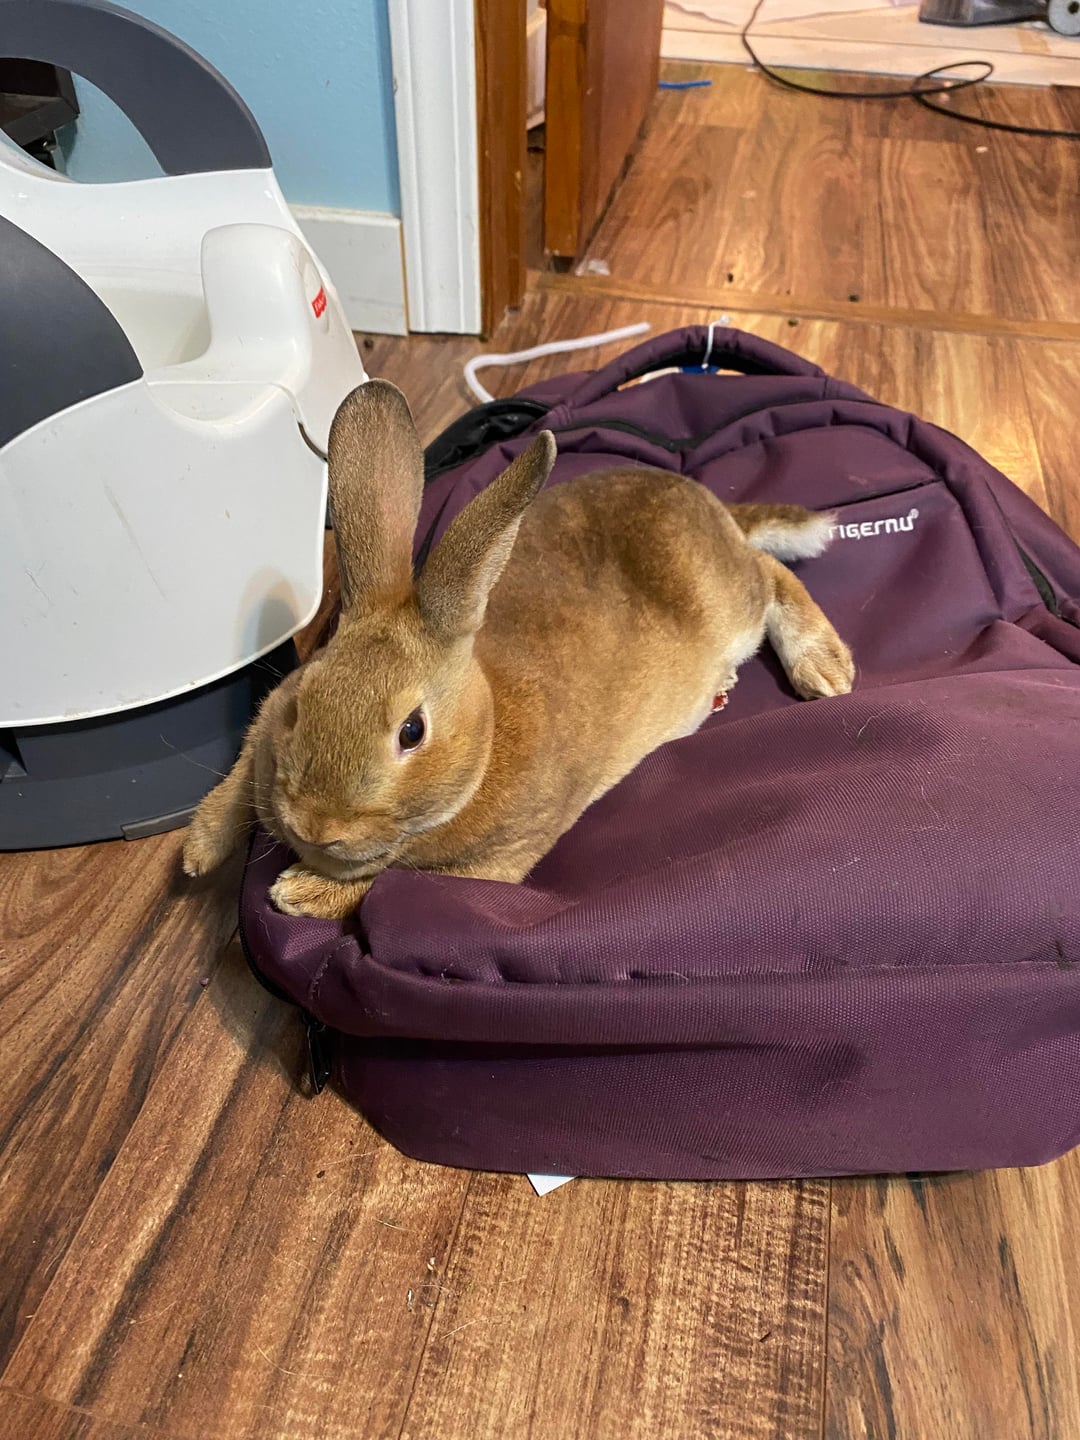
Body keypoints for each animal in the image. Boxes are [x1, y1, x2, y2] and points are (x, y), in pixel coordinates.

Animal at [182, 379, 853, 919]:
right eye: (302, 704)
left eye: (411, 732)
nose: (316, 827)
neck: (485, 739)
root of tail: (712, 505)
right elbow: (242, 770)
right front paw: (198, 850)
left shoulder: (500, 859)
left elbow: (388, 882)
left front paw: (298, 892)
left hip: (732, 606)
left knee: (770, 574)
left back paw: (825, 669)